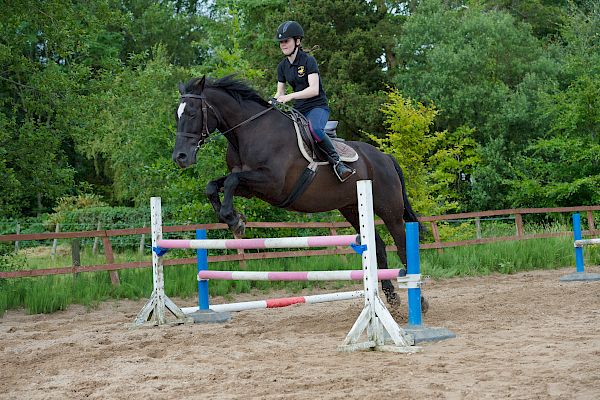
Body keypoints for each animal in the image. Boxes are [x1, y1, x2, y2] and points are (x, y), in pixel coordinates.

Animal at [169, 75, 422, 306]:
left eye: (192, 113)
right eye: (176, 115)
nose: (180, 157)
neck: (249, 131)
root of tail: (385, 157)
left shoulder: (272, 183)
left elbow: (231, 181)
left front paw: (235, 220)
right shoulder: (250, 188)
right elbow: (213, 185)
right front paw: (232, 218)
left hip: (389, 210)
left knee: (402, 245)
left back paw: (419, 300)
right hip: (352, 208)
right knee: (378, 248)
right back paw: (392, 299)